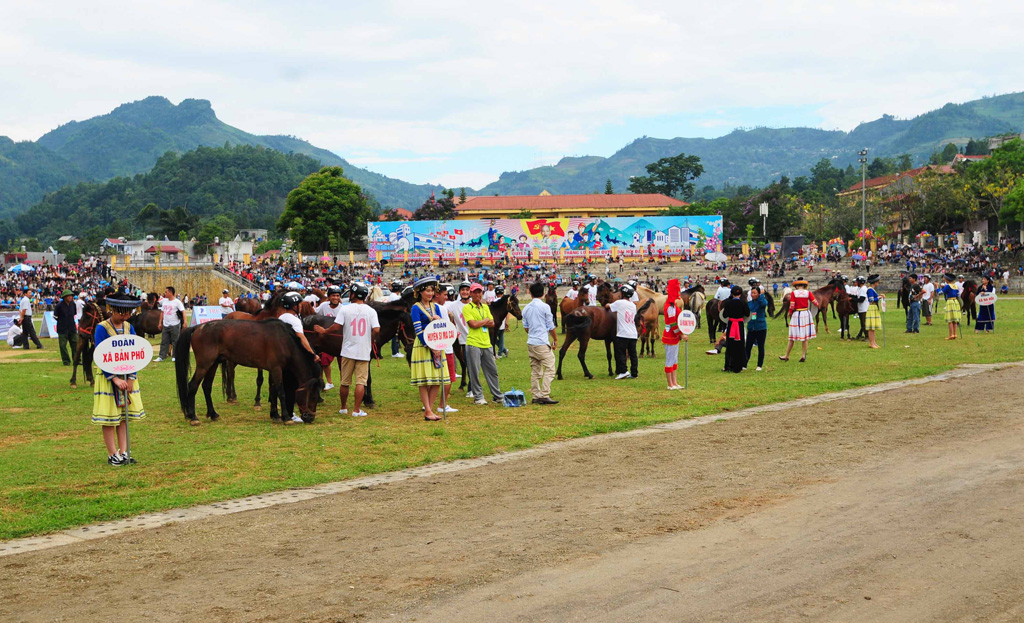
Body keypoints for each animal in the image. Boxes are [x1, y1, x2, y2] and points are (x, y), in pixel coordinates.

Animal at [174, 319, 321, 426]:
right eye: (313, 397)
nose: (310, 418)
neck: (284, 340)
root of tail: (198, 327)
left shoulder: (273, 370)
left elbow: (273, 390)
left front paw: (275, 415)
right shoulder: (276, 368)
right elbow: (281, 392)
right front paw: (286, 417)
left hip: (213, 364)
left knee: (206, 386)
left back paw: (213, 414)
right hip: (204, 365)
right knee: (193, 385)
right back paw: (193, 417)